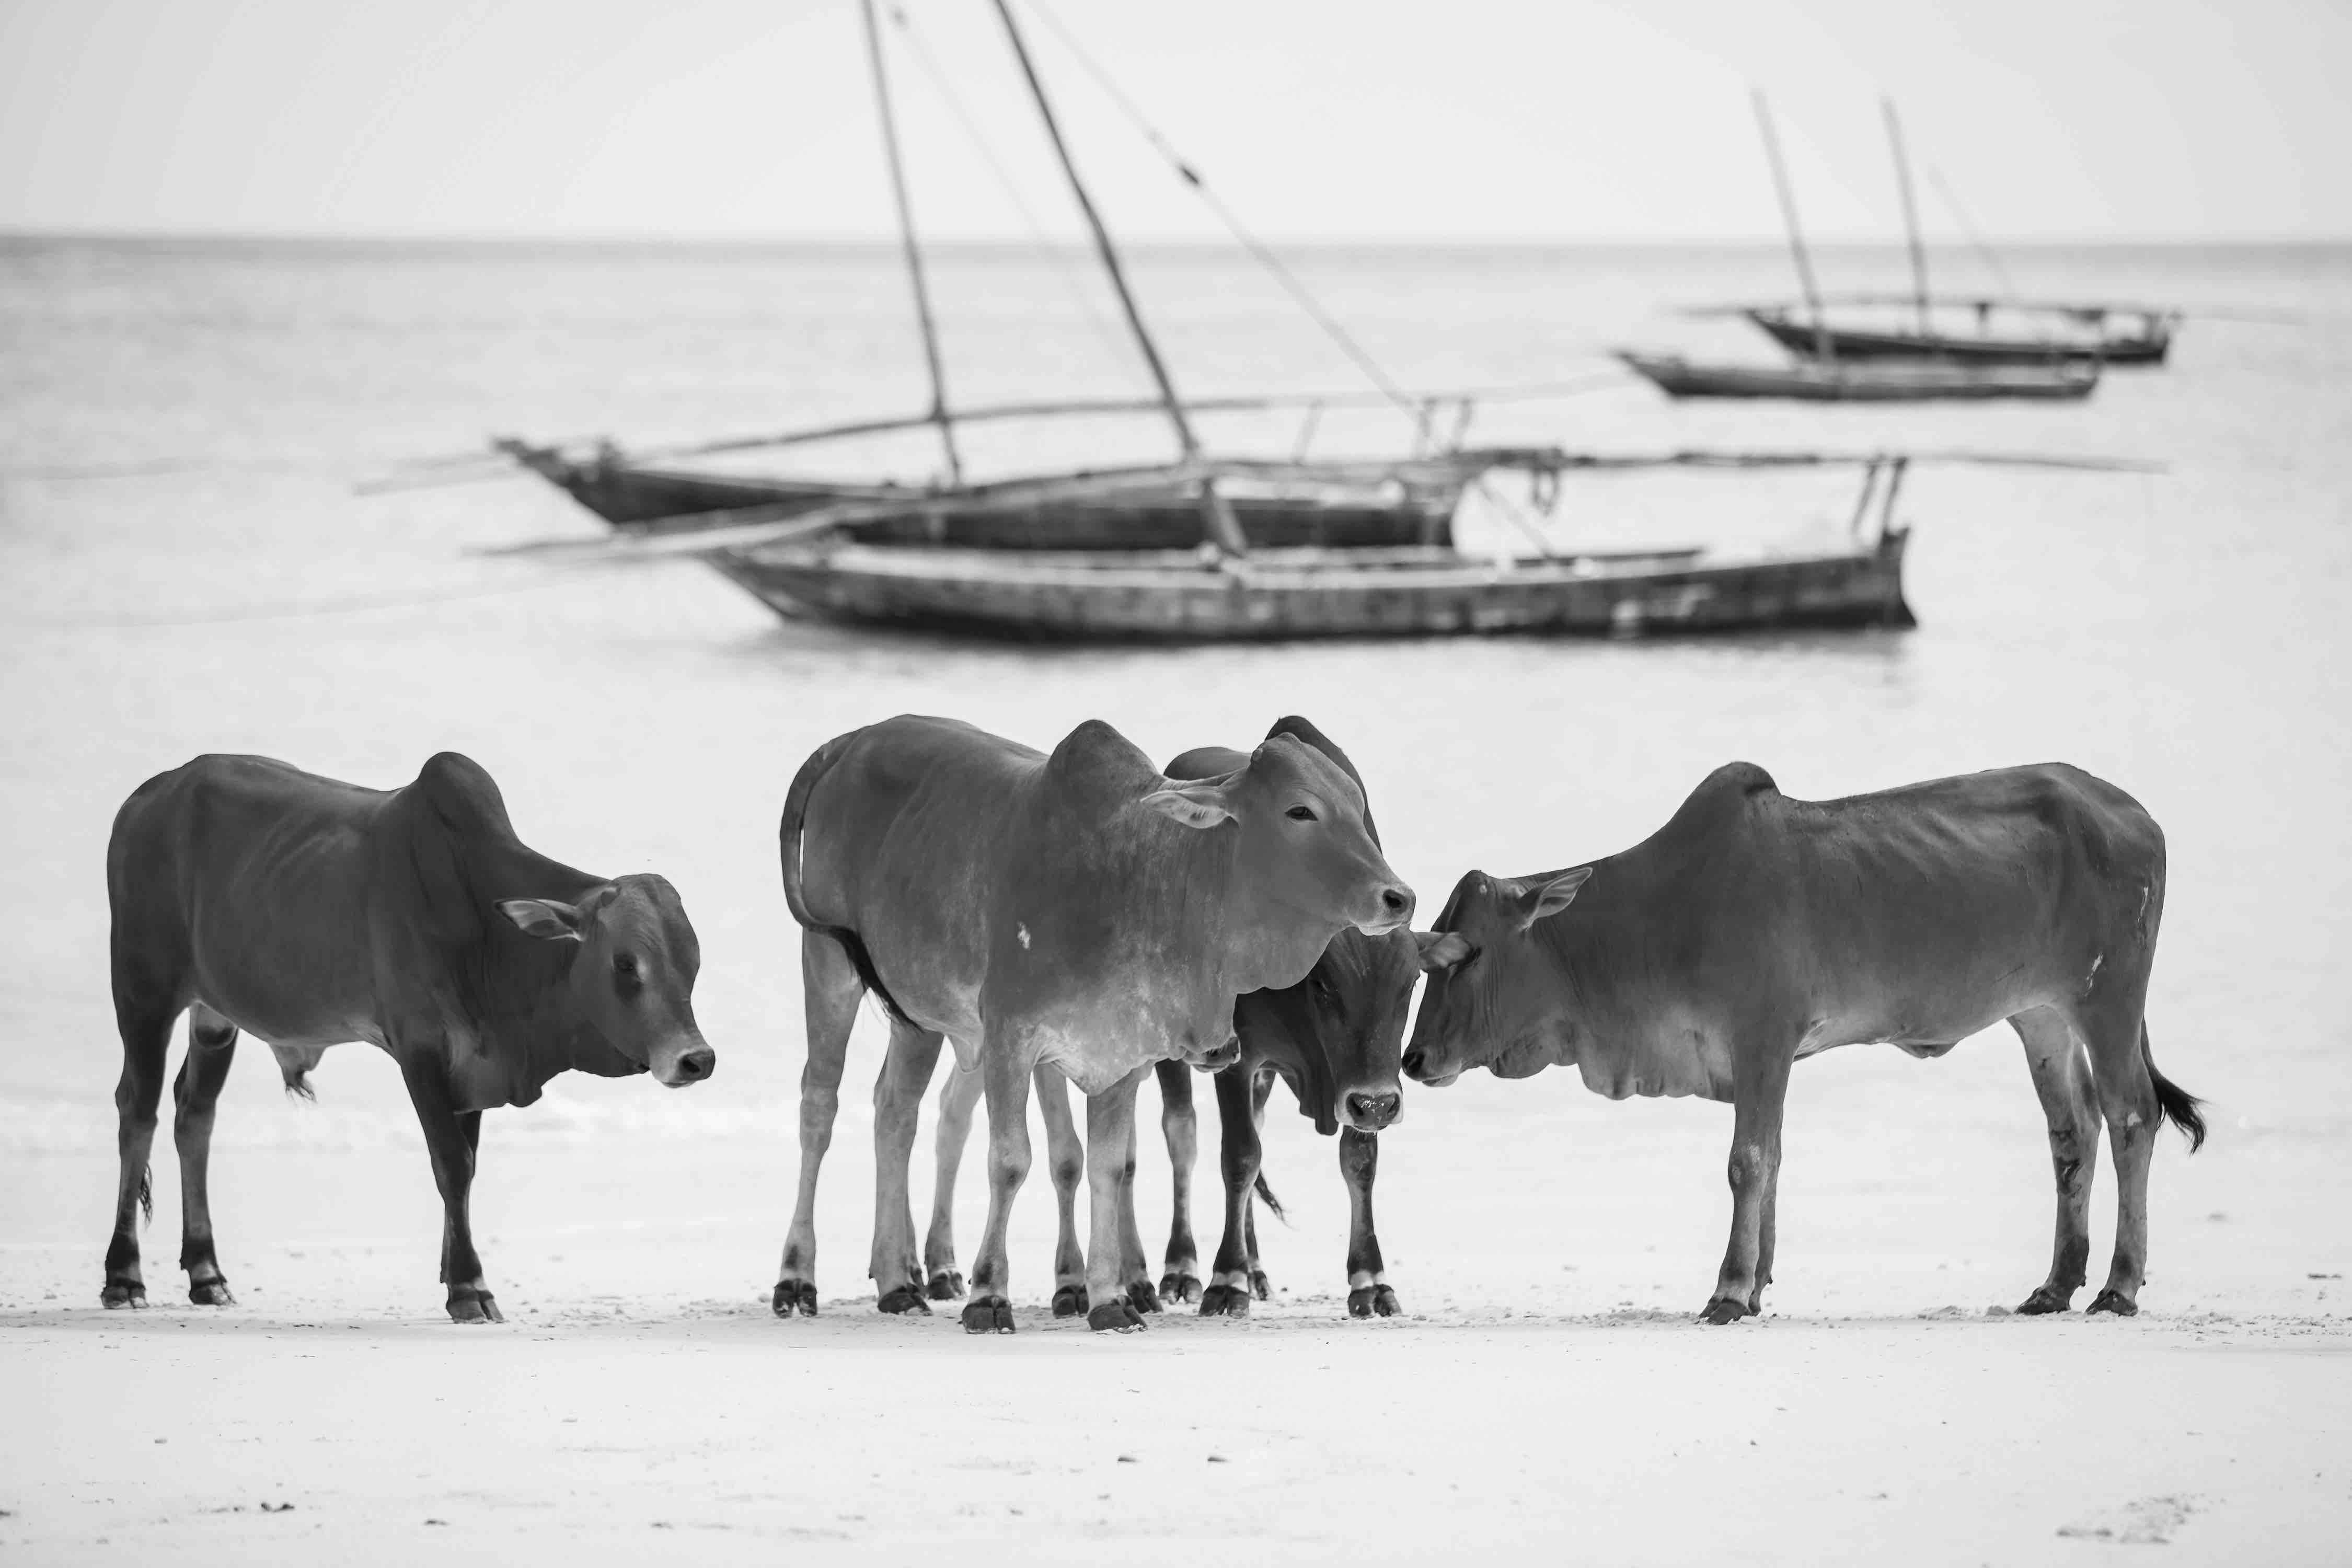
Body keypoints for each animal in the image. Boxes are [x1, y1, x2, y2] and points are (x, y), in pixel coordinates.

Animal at [103, 752, 715, 1322]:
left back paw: (207, 1274)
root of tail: (147, 798)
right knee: (138, 1112)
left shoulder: (476, 1067)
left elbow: (468, 1167)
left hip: (213, 1014)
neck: (487, 932)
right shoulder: (419, 1051)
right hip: (143, 990)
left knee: (194, 1115)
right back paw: (124, 1277)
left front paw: (450, 1274)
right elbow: (452, 1164)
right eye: (625, 964)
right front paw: (469, 1287)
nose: (696, 1059)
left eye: (693, 962)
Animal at [771, 714, 1413, 1333]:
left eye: (1355, 805)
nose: (1398, 897)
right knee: (819, 1108)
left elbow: (1109, 1167)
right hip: (828, 963)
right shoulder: (1012, 1039)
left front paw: (1109, 1299)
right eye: (1299, 810)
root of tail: (853, 739)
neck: (1141, 883)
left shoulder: (1121, 1054)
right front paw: (990, 1296)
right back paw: (798, 1277)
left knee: (894, 1113)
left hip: (915, 1015)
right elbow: (1011, 1161)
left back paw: (897, 1281)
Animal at [1403, 761, 2204, 1324]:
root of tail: (2136, 814)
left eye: (1468, 954)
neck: (1651, 919)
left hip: (2107, 999)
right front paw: (1757, 1285)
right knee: (2074, 1133)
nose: (1412, 1060)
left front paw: (1729, 1291)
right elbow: (1775, 1159)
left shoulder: (1763, 1036)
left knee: (2132, 1118)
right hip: (2041, 1016)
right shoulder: (1770, 1055)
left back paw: (2118, 1285)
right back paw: (2056, 1285)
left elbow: (1749, 1161)